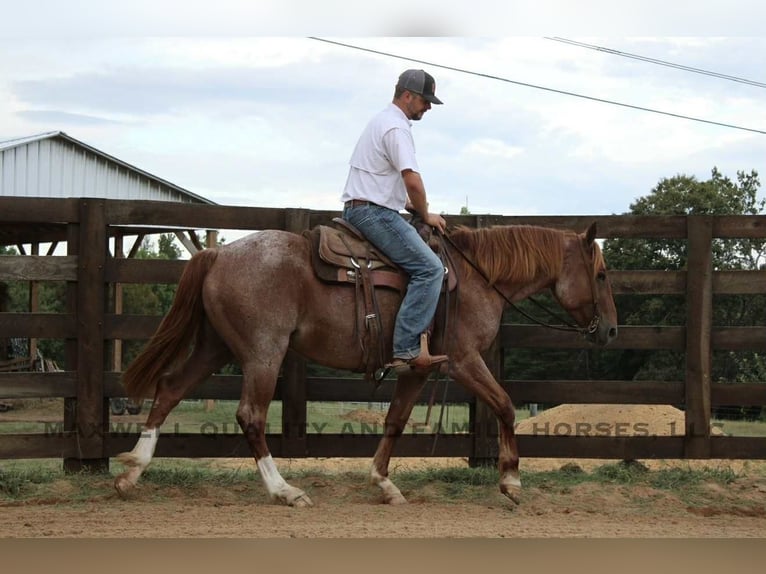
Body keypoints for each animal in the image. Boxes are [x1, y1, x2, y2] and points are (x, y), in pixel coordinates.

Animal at [114, 220, 618, 506]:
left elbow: (394, 422)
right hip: (262, 352)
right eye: (600, 274)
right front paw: (511, 482)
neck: (476, 278)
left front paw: (383, 483)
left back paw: (132, 472)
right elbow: (506, 406)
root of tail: (219, 251)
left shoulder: (418, 368)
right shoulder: (462, 361)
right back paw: (284, 491)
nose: (612, 331)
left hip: (215, 347)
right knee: (250, 416)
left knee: (170, 388)